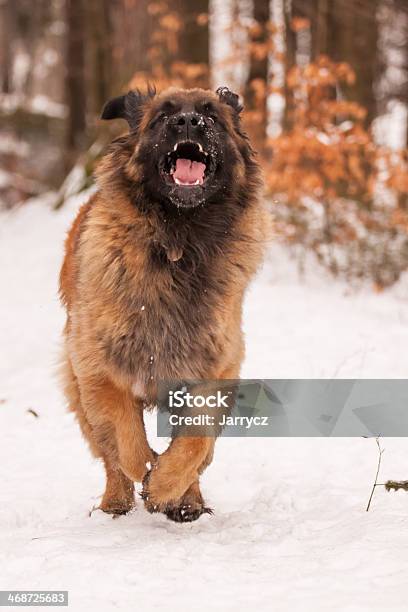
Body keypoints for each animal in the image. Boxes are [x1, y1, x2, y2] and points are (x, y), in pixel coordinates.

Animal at [58, 86, 268, 524]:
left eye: (212, 115)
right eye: (161, 117)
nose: (189, 122)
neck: (179, 244)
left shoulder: (214, 368)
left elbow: (195, 442)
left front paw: (167, 487)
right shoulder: (100, 369)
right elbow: (127, 441)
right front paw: (149, 473)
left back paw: (188, 501)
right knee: (110, 456)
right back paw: (117, 501)